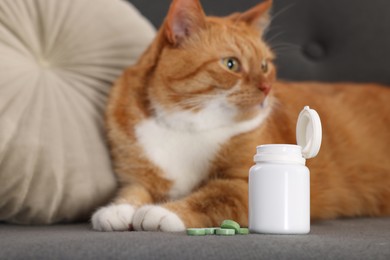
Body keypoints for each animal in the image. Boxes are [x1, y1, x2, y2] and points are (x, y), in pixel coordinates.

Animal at [92, 0, 390, 232]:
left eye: (265, 65)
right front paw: (117, 209)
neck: (189, 125)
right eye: (231, 64)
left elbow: (212, 196)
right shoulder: (137, 175)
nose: (267, 87)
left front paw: (165, 212)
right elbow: (133, 190)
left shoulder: (240, 183)